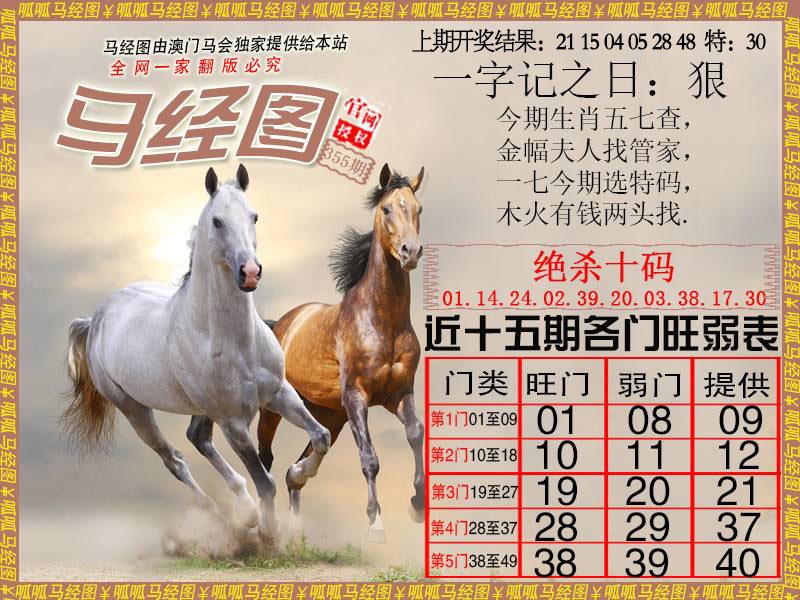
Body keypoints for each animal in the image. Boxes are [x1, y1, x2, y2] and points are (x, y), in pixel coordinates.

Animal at [63, 165, 331, 543]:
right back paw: (225, 516)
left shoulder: (278, 393)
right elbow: (265, 480)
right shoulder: (233, 421)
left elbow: (320, 437)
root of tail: (96, 317)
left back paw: (243, 509)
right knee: (174, 459)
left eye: (254, 216)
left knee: (197, 438)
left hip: (200, 409)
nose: (250, 272)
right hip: (134, 409)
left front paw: (298, 474)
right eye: (217, 221)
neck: (235, 341)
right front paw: (268, 531)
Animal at [256, 163, 425, 543]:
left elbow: (415, 434)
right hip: (275, 409)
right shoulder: (357, 397)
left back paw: (297, 510)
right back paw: (264, 524)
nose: (410, 252)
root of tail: (280, 324)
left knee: (298, 466)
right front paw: (376, 524)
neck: (382, 321)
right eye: (386, 209)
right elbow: (370, 458)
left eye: (418, 209)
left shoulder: (399, 395)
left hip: (329, 414)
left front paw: (417, 505)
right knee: (265, 458)